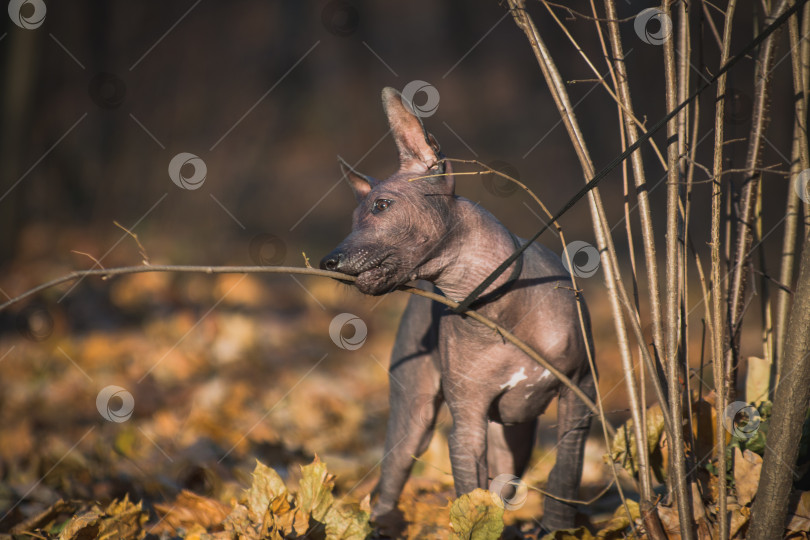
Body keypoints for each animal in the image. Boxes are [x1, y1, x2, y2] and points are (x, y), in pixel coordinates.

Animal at [320, 88, 592, 532]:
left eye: (381, 206)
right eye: (354, 217)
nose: (328, 261)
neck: (498, 309)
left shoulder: (579, 394)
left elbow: (566, 470)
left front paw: (557, 529)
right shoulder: (466, 425)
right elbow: (471, 497)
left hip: (516, 435)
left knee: (507, 481)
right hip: (415, 413)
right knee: (393, 476)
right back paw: (380, 524)